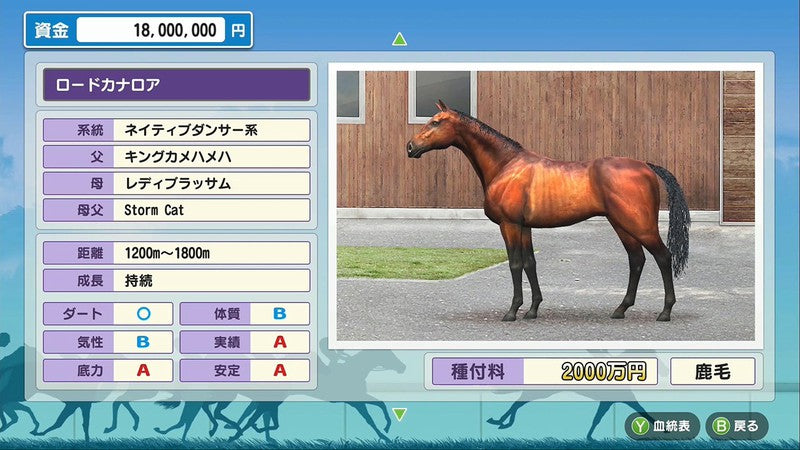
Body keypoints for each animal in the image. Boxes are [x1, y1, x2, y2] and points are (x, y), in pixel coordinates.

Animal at [406, 100, 690, 322]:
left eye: (435, 122)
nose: (410, 147)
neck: (506, 166)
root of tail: (646, 166)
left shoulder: (509, 225)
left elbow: (515, 264)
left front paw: (512, 311)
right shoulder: (524, 227)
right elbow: (530, 264)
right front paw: (532, 310)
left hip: (639, 226)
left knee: (663, 257)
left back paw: (665, 312)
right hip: (621, 225)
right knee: (636, 260)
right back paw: (621, 309)